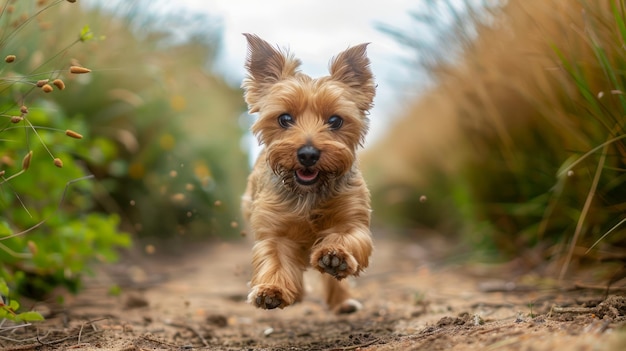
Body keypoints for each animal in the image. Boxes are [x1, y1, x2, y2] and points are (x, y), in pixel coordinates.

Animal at [241, 33, 372, 314]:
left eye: (335, 121)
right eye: (284, 118)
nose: (309, 154)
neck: (309, 193)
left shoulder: (351, 219)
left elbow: (347, 237)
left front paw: (336, 255)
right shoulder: (275, 229)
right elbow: (275, 259)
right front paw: (272, 290)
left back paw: (343, 301)